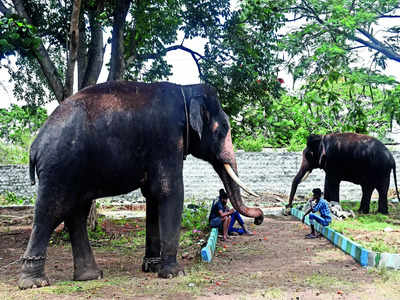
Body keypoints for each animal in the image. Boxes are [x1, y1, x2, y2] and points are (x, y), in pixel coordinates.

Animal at [18, 81, 262, 290]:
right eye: (223, 129)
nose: (259, 217)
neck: (186, 90)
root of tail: (34, 146)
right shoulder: (167, 139)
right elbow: (170, 192)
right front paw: (174, 274)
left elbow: (153, 195)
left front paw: (152, 267)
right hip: (59, 168)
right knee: (51, 211)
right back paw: (34, 283)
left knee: (77, 213)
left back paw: (90, 276)